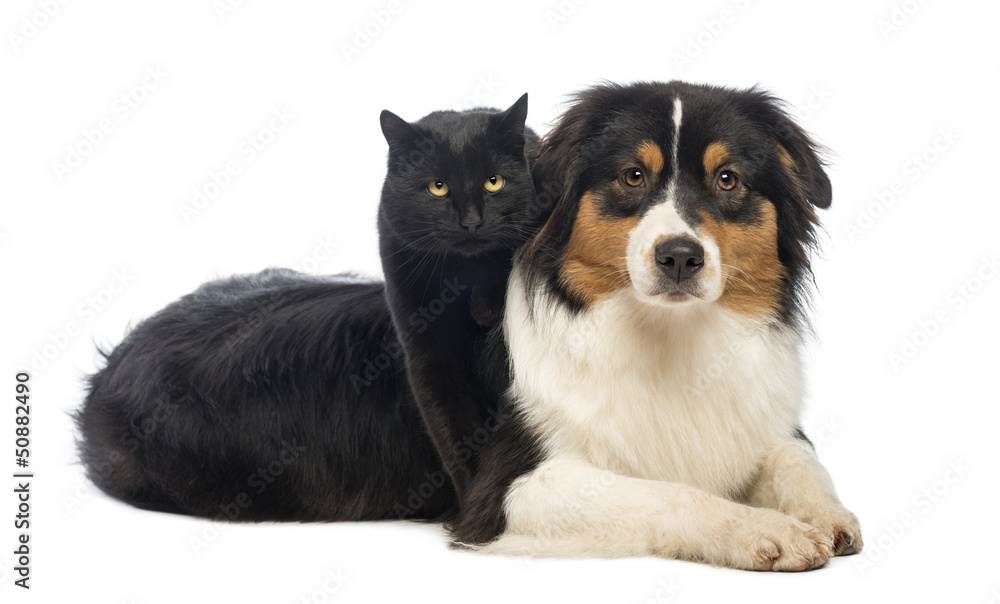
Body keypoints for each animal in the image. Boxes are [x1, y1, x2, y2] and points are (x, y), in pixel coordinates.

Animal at [446, 81, 860, 572]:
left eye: (727, 179)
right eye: (633, 176)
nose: (679, 256)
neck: (670, 334)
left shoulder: (769, 423)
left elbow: (799, 459)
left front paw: (826, 513)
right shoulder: (510, 488)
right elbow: (669, 493)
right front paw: (765, 528)